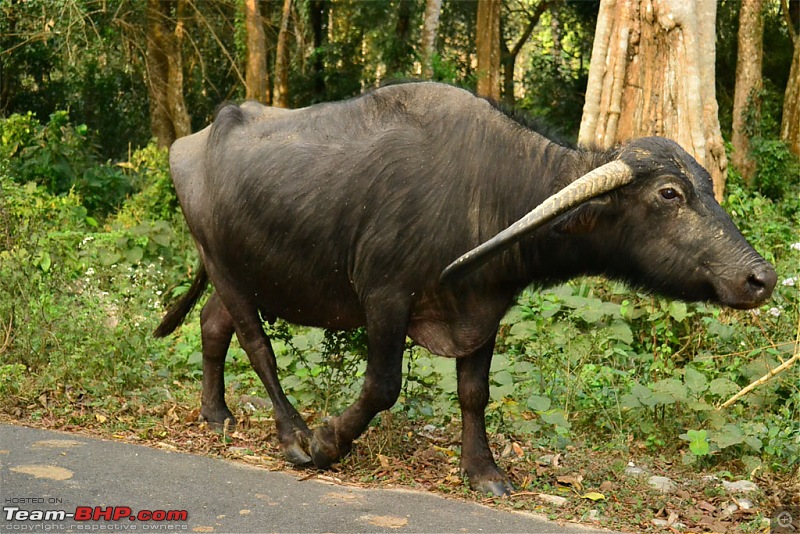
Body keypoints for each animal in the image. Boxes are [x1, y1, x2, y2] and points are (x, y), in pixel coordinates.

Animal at [155, 81, 776, 496]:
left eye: (708, 186)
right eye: (670, 194)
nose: (761, 277)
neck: (491, 188)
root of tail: (193, 142)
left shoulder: (483, 308)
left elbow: (474, 393)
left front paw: (485, 472)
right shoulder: (385, 298)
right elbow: (382, 386)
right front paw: (330, 441)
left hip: (243, 274)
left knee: (213, 324)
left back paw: (216, 414)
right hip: (223, 265)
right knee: (257, 347)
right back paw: (292, 435)